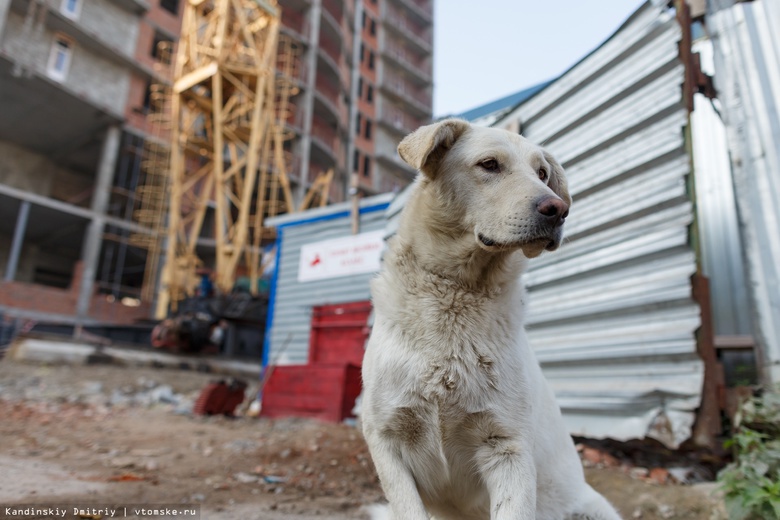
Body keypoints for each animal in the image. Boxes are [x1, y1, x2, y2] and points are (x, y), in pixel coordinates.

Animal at [360, 120, 620, 516]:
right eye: (489, 165)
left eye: (542, 173)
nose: (559, 209)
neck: (458, 295)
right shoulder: (386, 438)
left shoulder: (508, 445)